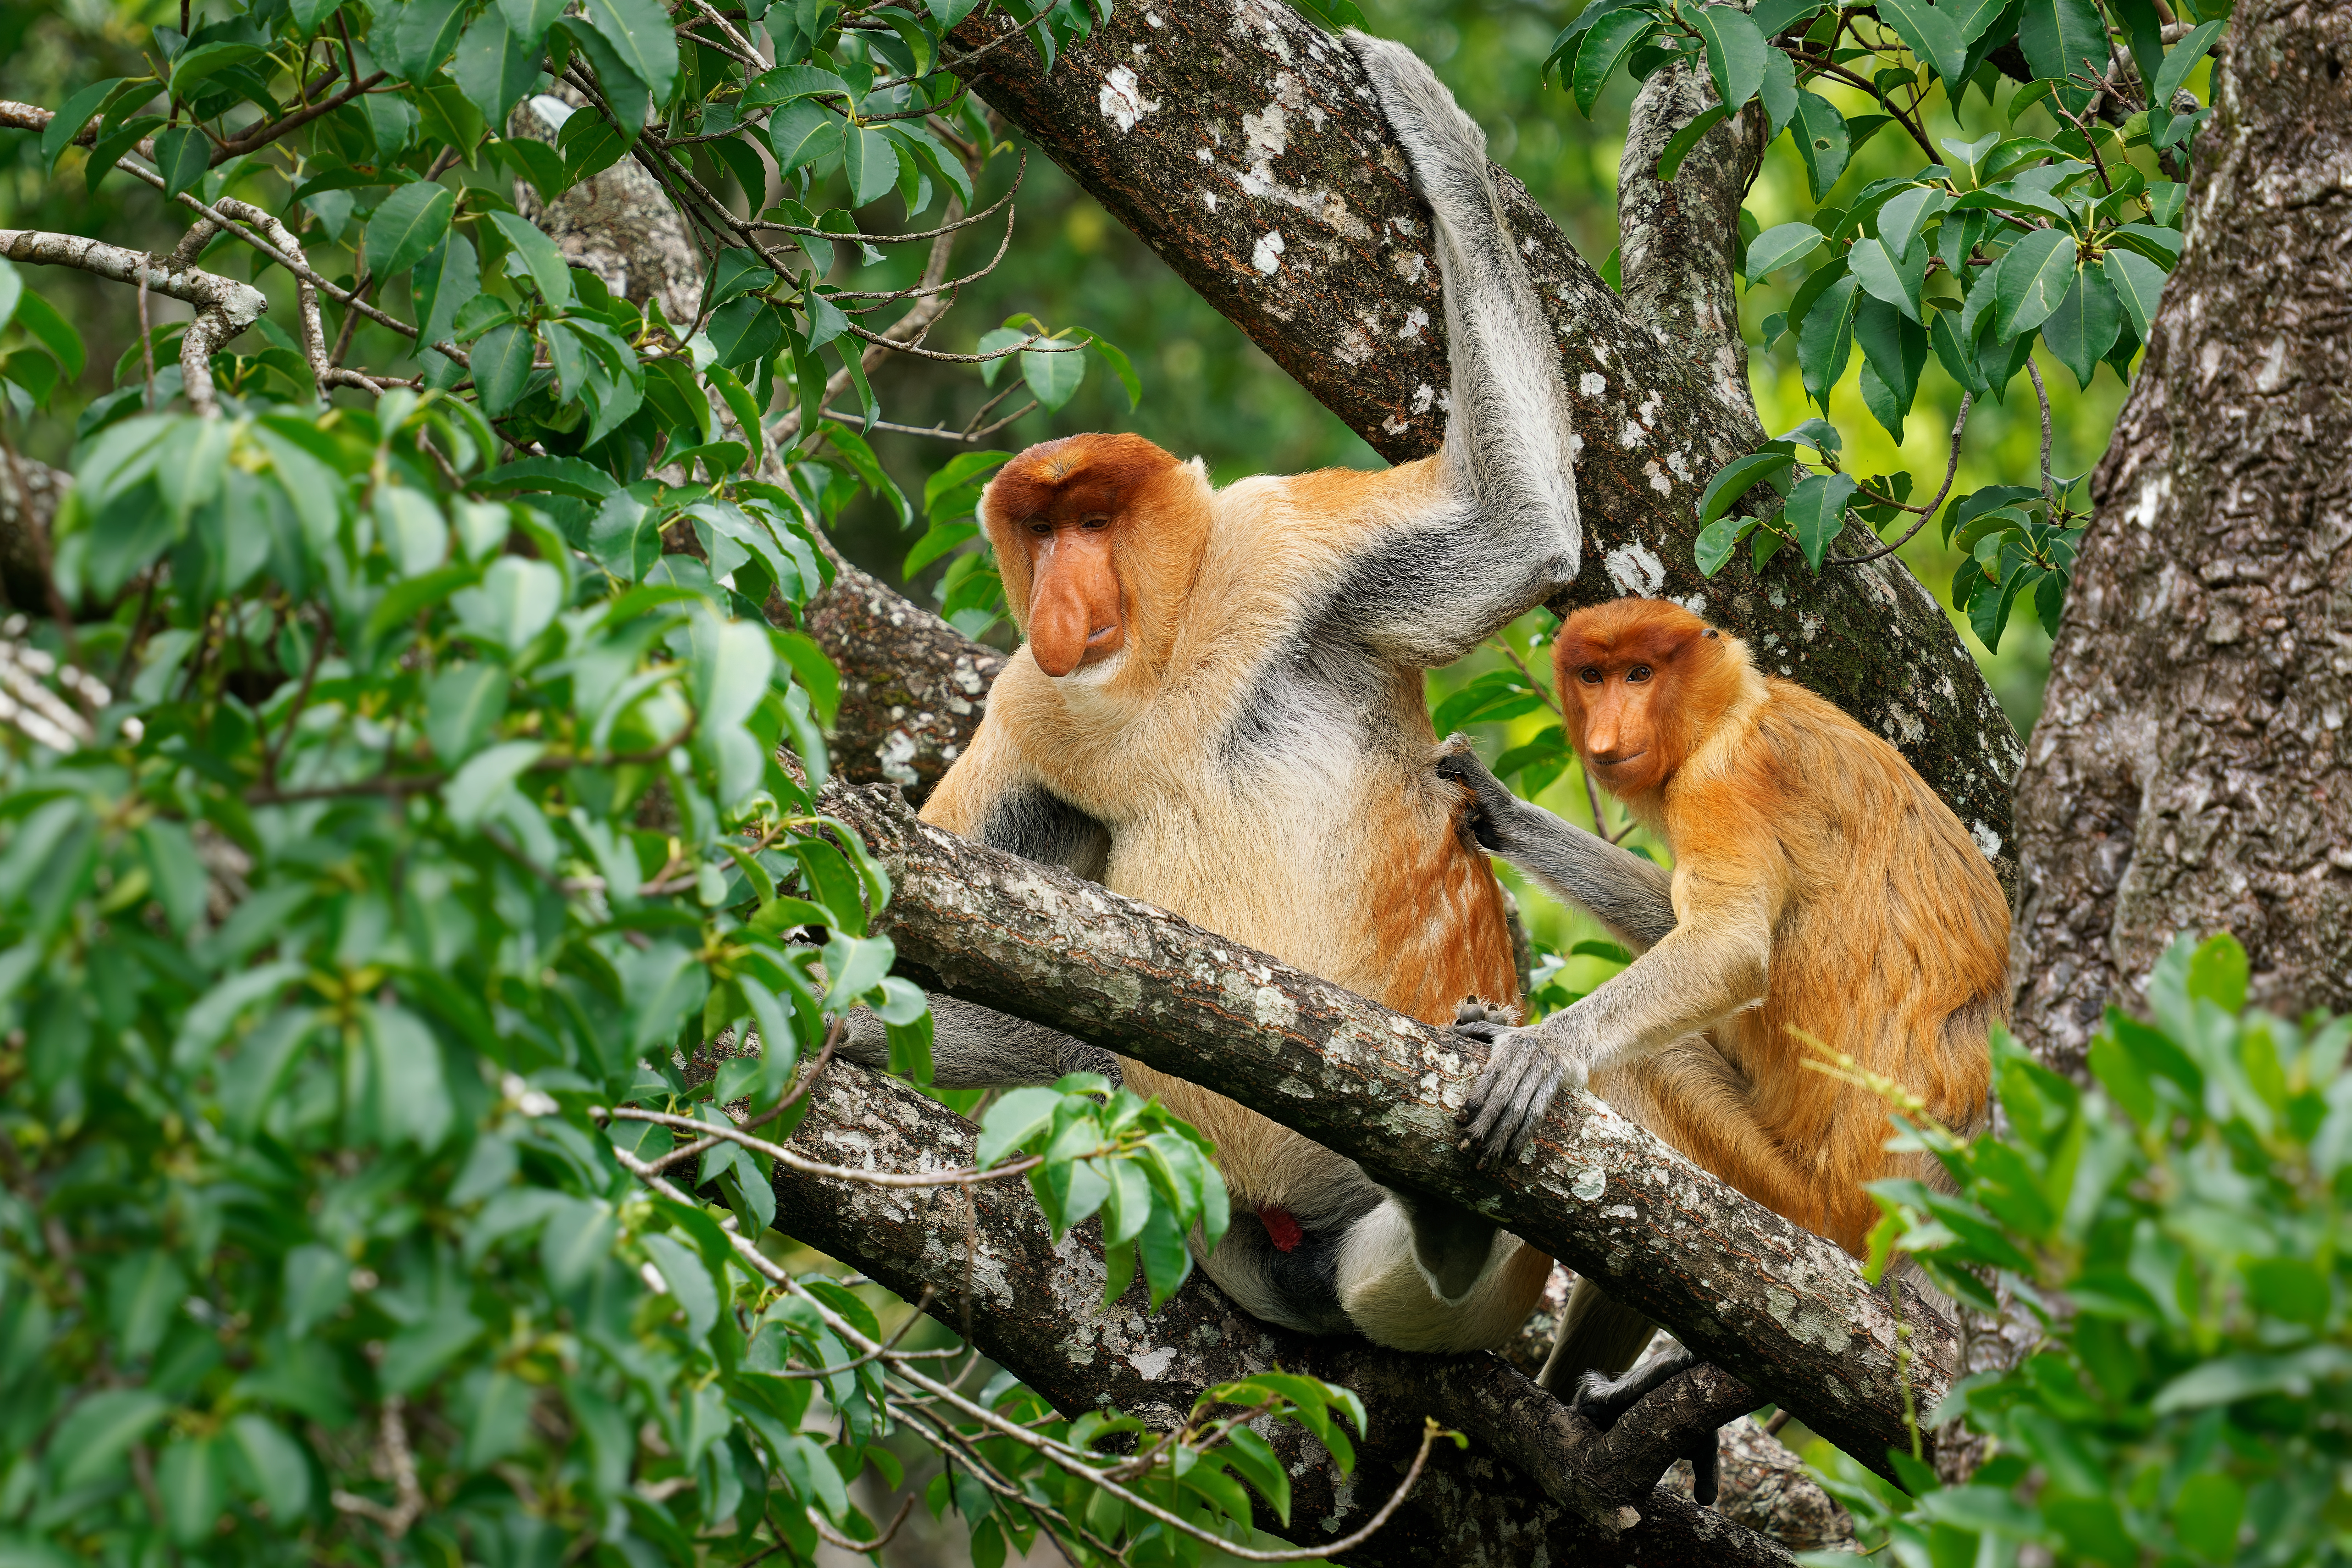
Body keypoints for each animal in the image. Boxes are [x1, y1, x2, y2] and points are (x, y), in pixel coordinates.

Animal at [836, 33, 1690, 1359]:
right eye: (1041, 529)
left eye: (1096, 519)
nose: (1065, 593)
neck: (1164, 669)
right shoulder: (1032, 711)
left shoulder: (1285, 546)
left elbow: (1518, 534)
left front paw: (1436, 130)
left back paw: (1456, 1206)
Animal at [1435, 596, 2009, 1420]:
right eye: (1592, 675)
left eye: (1640, 674)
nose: (1607, 732)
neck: (1738, 705)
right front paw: (1494, 803)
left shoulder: (1722, 781)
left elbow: (1727, 944)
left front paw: (1537, 1050)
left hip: (1806, 1202)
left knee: (1640, 1077)